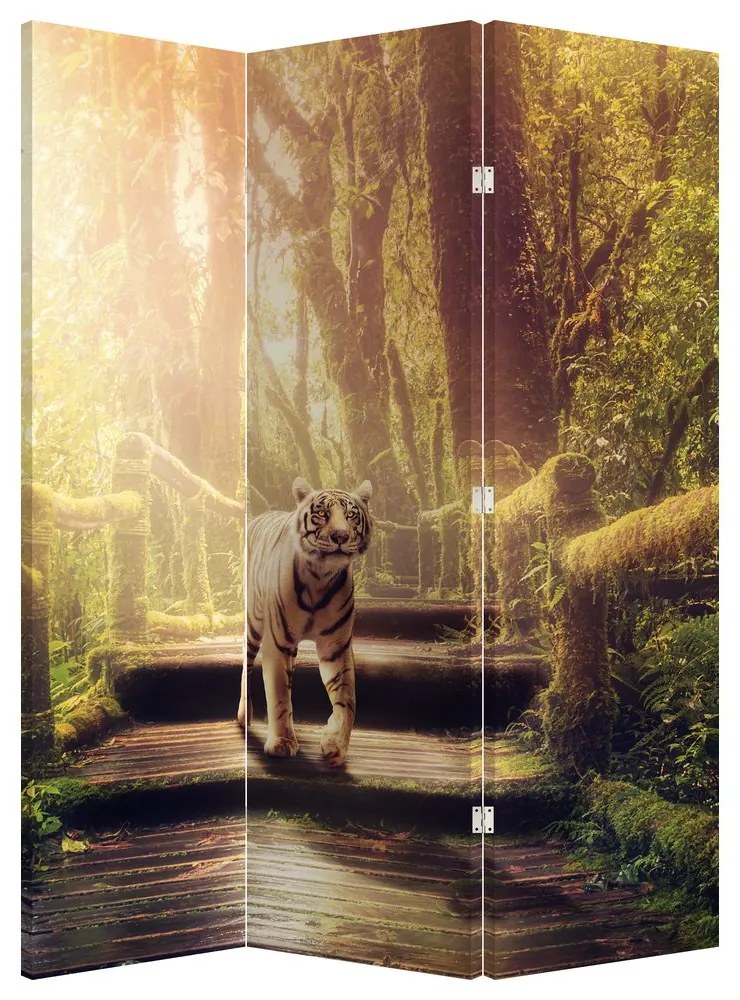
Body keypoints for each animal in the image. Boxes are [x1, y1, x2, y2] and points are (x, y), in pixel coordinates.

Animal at [238, 476, 373, 767]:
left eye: (350, 515)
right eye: (322, 513)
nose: (341, 536)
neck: (321, 577)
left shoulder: (336, 646)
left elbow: (348, 699)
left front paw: (335, 745)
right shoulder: (278, 642)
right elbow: (279, 694)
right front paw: (281, 743)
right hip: (253, 625)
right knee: (245, 666)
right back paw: (244, 716)